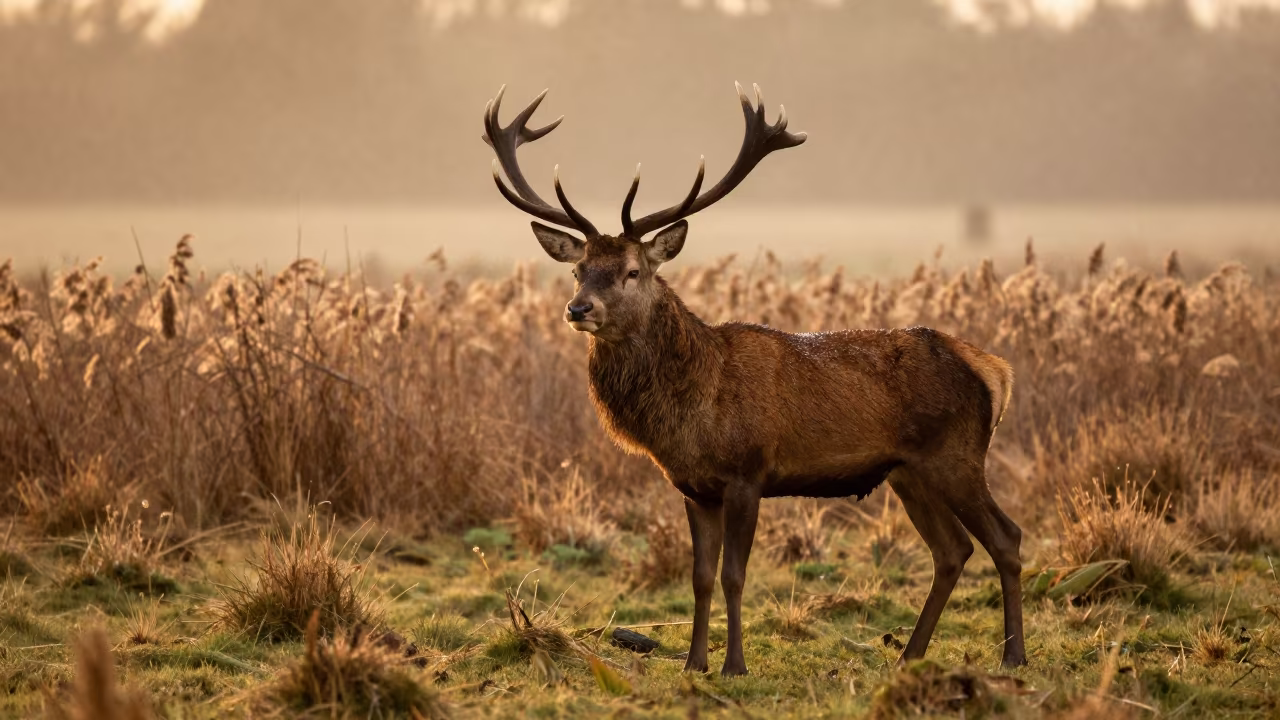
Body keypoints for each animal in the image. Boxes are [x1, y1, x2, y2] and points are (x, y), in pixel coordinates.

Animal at [479, 82, 1026, 676]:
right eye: (578, 270)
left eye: (632, 271)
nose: (578, 308)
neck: (694, 410)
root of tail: (992, 369)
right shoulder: (694, 488)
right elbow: (699, 577)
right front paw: (695, 663)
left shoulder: (749, 472)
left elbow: (734, 576)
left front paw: (734, 665)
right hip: (909, 472)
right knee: (952, 550)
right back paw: (911, 654)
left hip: (957, 456)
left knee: (1006, 537)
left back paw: (1013, 655)